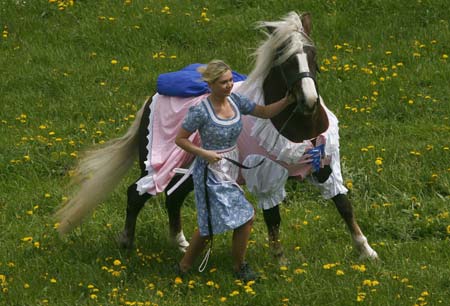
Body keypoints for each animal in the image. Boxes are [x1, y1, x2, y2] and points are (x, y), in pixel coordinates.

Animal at [57, 10, 380, 262]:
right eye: (285, 60)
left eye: (313, 54)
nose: (309, 101)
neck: (296, 125)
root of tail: (153, 96)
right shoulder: (266, 173)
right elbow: (273, 214)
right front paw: (280, 260)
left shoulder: (325, 164)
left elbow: (343, 204)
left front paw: (367, 251)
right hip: (160, 163)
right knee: (136, 193)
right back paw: (126, 242)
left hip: (190, 169)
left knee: (172, 198)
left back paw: (181, 243)